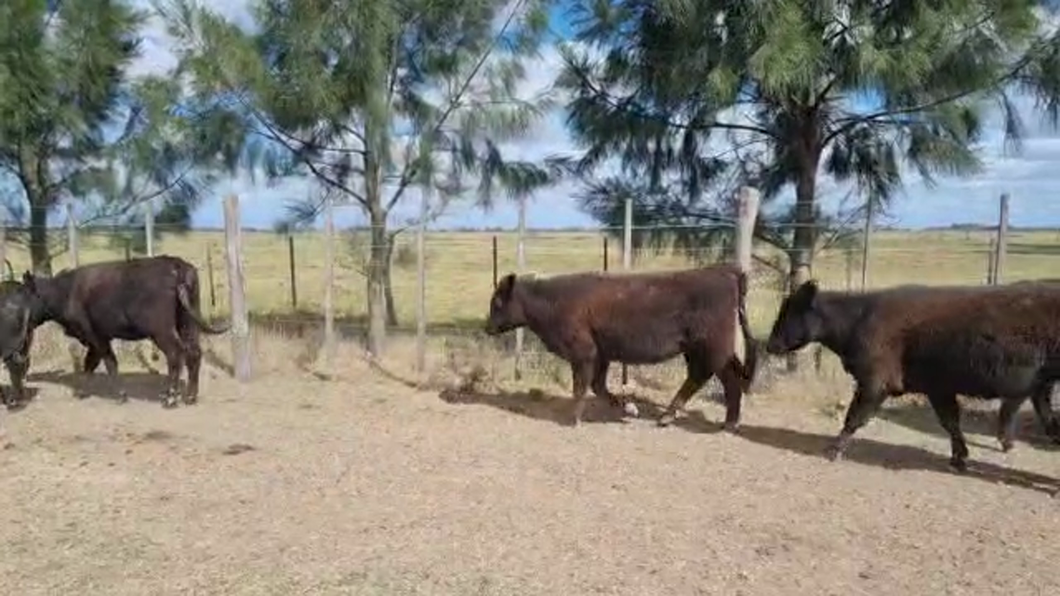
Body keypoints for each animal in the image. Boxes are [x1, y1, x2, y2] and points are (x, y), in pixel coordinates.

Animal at [21, 252, 227, 405]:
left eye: (23, 294)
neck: (66, 291)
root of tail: (175, 264)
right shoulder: (100, 337)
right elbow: (90, 364)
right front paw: (80, 391)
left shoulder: (95, 335)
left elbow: (109, 363)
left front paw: (120, 395)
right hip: (187, 323)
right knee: (194, 353)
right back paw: (190, 396)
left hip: (161, 330)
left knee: (176, 353)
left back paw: (169, 398)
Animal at [485, 264, 758, 426]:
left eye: (497, 302)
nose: (487, 328)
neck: (552, 300)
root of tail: (724, 270)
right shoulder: (601, 354)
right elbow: (598, 386)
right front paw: (628, 407)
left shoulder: (583, 353)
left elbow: (580, 386)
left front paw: (574, 419)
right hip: (702, 350)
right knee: (717, 377)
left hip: (711, 348)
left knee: (716, 378)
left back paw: (678, 417)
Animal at [767, 277, 1060, 468]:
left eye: (789, 312)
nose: (770, 345)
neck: (859, 319)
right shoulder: (938, 387)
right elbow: (950, 421)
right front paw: (959, 457)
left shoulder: (875, 382)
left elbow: (854, 417)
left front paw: (833, 450)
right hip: (1042, 386)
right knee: (1044, 416)